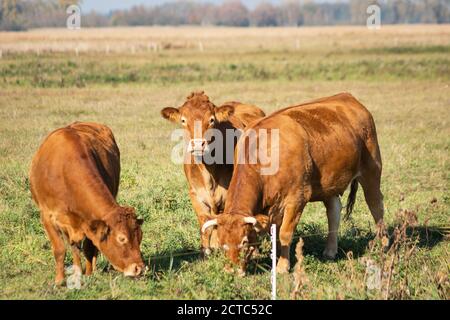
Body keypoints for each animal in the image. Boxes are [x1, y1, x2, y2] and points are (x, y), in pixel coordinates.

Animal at [29, 121, 144, 284]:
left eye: (140, 236)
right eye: (122, 238)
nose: (139, 268)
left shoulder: (91, 222)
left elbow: (89, 248)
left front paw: (89, 275)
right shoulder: (47, 216)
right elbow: (60, 249)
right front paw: (59, 280)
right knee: (73, 247)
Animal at [161, 91, 264, 254]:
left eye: (211, 120)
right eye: (183, 120)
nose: (198, 144)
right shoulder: (195, 194)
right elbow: (205, 223)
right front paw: (206, 251)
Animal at [202, 93, 384, 276]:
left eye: (245, 241)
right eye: (222, 243)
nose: (231, 271)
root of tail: (348, 97)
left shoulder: (296, 198)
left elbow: (284, 234)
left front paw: (282, 266)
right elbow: (274, 233)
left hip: (372, 171)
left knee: (376, 206)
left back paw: (382, 245)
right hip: (330, 182)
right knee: (334, 212)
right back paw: (330, 251)